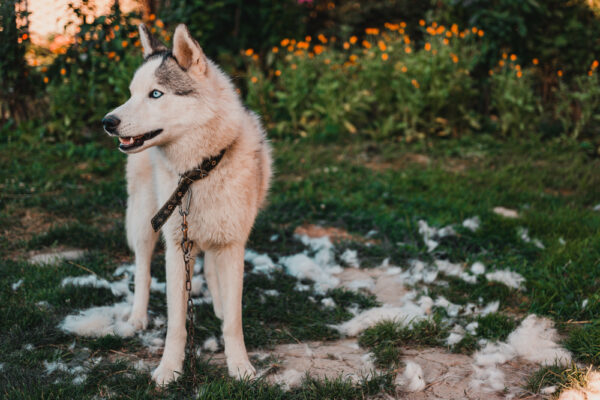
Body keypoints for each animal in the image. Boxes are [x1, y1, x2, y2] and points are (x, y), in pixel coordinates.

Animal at [102, 24, 272, 384]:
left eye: (155, 94)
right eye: (131, 93)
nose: (107, 122)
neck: (198, 172)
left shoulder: (232, 243)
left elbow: (234, 321)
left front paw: (240, 366)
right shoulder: (177, 245)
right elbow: (177, 324)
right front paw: (169, 369)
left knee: (211, 267)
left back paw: (219, 302)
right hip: (145, 221)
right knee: (142, 268)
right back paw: (137, 318)